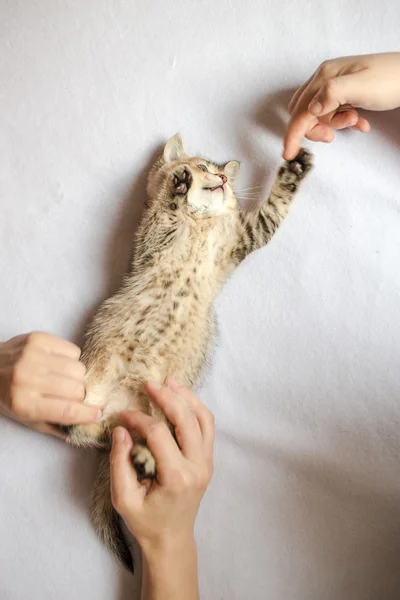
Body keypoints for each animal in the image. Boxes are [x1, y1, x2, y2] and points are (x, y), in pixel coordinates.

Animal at [61, 135, 312, 572]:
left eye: (223, 174)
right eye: (204, 166)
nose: (221, 180)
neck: (201, 224)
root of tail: (116, 413)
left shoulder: (246, 235)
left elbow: (274, 206)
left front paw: (293, 169)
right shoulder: (151, 241)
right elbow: (164, 215)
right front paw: (177, 185)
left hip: (155, 414)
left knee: (109, 435)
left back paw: (143, 459)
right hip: (93, 388)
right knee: (77, 431)